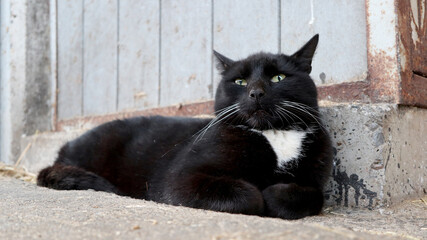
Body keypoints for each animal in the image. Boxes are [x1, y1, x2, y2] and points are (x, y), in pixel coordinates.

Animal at [38, 34, 332, 220]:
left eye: (278, 77)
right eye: (239, 81)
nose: (256, 93)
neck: (274, 135)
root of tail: (64, 146)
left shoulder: (314, 181)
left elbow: (311, 196)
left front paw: (274, 194)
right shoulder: (179, 179)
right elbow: (246, 195)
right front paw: (261, 196)